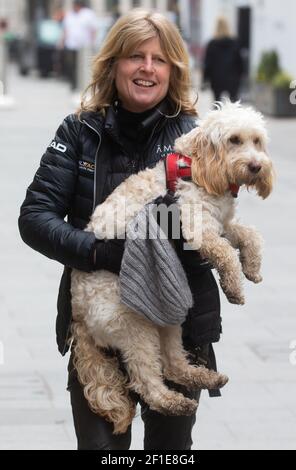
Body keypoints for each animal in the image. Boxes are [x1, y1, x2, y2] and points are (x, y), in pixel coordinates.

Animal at [70, 103, 274, 434]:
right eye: (234, 140)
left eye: (256, 141)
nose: (257, 166)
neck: (194, 166)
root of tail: (79, 315)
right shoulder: (196, 228)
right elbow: (225, 253)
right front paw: (233, 287)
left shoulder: (223, 223)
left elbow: (249, 235)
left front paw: (253, 267)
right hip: (133, 325)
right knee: (147, 381)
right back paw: (173, 402)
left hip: (166, 319)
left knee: (172, 364)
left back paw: (201, 377)